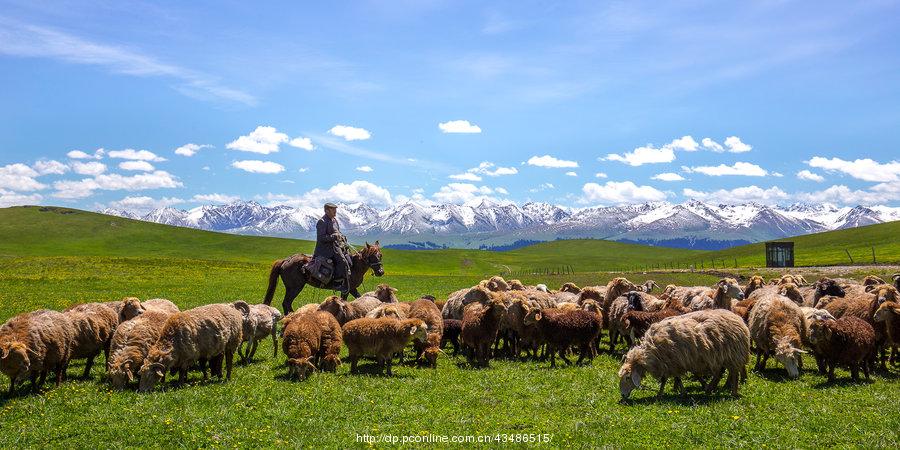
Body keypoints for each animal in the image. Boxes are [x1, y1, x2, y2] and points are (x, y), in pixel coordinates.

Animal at [620, 308, 752, 400]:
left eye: (627, 377)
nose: (622, 395)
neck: (650, 352)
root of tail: (739, 319)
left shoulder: (673, 362)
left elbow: (668, 379)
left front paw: (661, 394)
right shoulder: (673, 363)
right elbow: (675, 378)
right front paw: (679, 392)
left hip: (733, 354)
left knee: (733, 374)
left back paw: (732, 392)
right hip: (723, 357)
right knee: (720, 373)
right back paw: (710, 389)